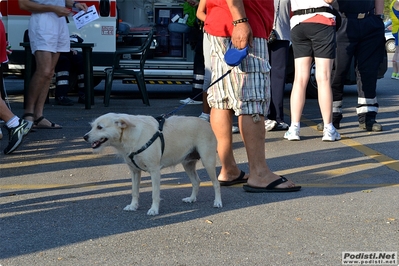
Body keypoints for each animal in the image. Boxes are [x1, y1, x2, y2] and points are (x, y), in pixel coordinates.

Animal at [84, 112, 223, 214]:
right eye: (93, 126)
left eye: (100, 127)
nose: (85, 137)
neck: (131, 134)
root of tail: (207, 123)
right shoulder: (134, 172)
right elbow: (134, 191)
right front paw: (133, 206)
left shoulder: (154, 171)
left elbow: (155, 193)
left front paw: (154, 209)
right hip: (187, 164)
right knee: (196, 181)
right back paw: (191, 198)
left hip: (208, 161)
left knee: (216, 183)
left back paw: (218, 202)